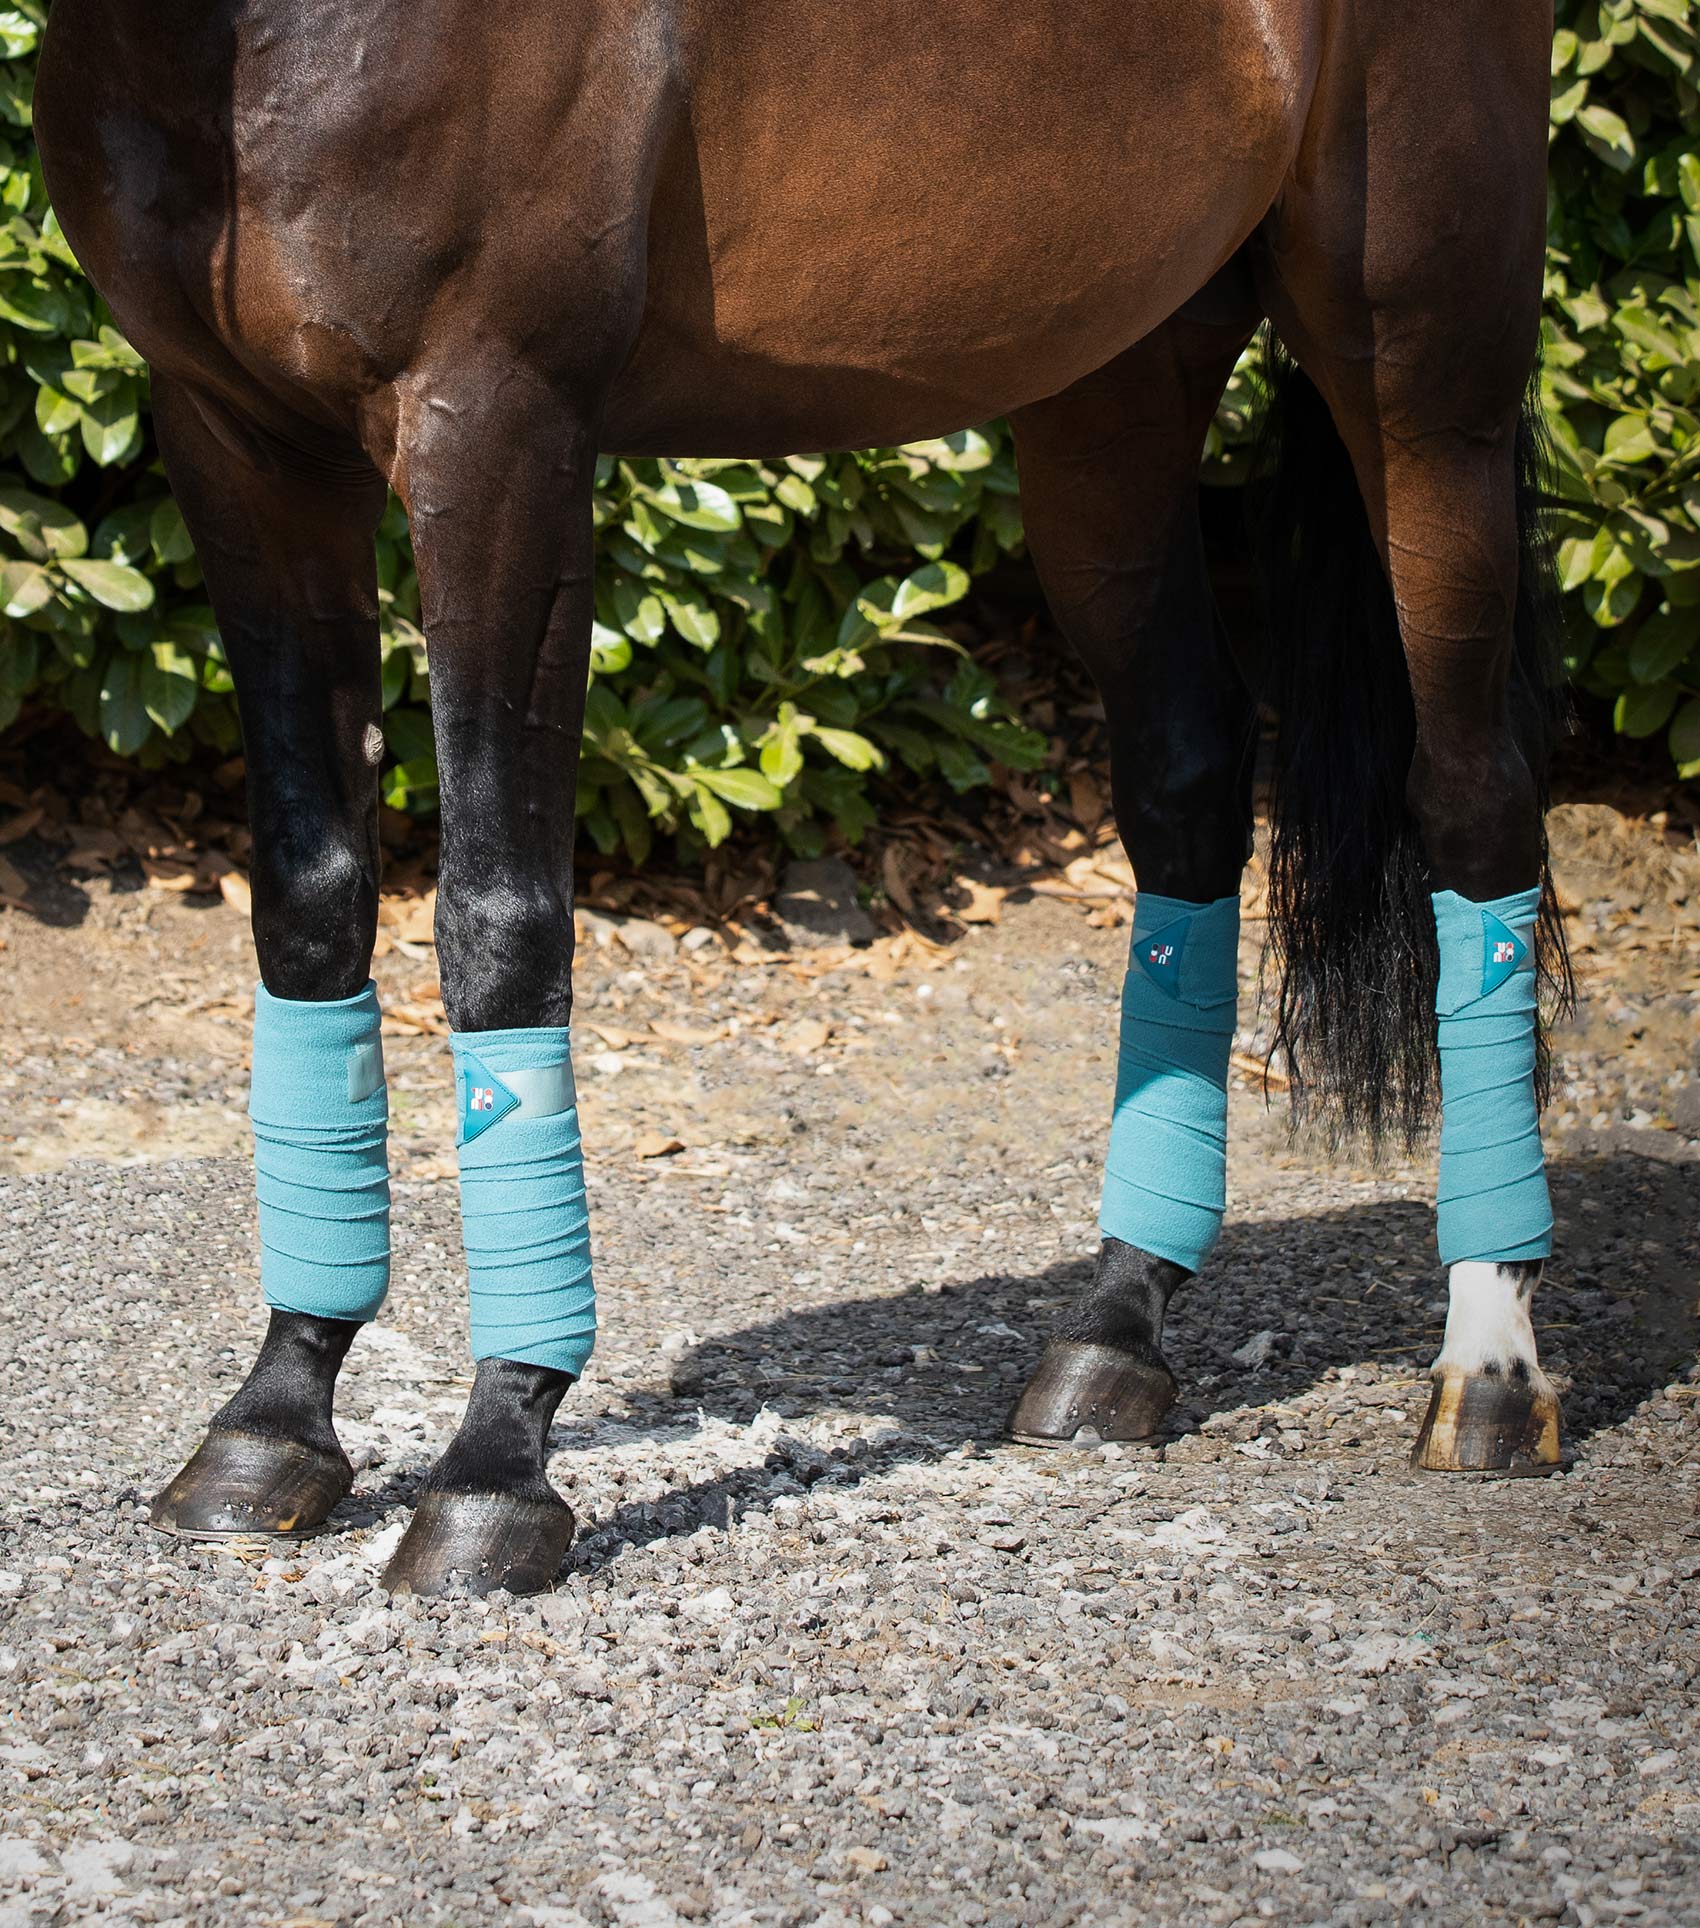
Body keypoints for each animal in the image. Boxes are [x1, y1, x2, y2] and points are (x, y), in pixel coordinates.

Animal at [33, 0, 1571, 1596]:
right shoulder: (239, 442)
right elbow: (310, 898)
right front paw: (274, 1421)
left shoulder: (498, 435)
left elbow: (498, 924)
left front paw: (494, 1470)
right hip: (1114, 382)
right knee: (1190, 780)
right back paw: (1111, 1341)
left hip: (1420, 375)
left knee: (1473, 797)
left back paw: (1489, 1378)